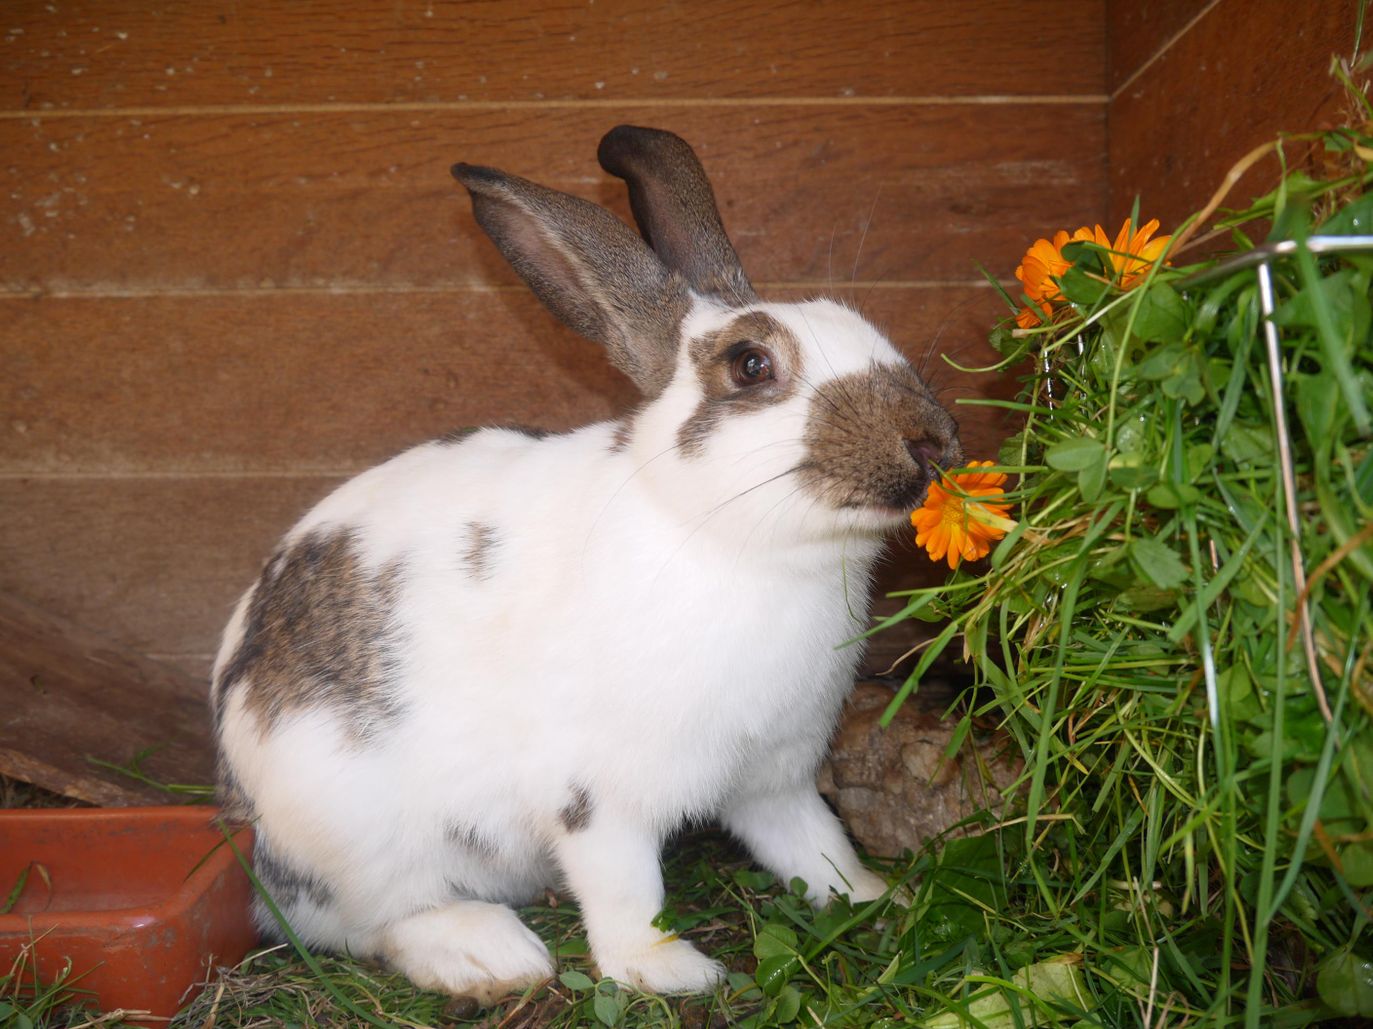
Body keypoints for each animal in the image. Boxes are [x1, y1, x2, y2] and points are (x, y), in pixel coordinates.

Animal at [210, 124, 962, 1004]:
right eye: (750, 365)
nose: (930, 442)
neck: (736, 545)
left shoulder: (775, 775)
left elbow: (816, 847)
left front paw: (881, 897)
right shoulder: (597, 797)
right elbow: (625, 886)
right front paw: (665, 969)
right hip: (354, 829)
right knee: (369, 923)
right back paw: (489, 954)